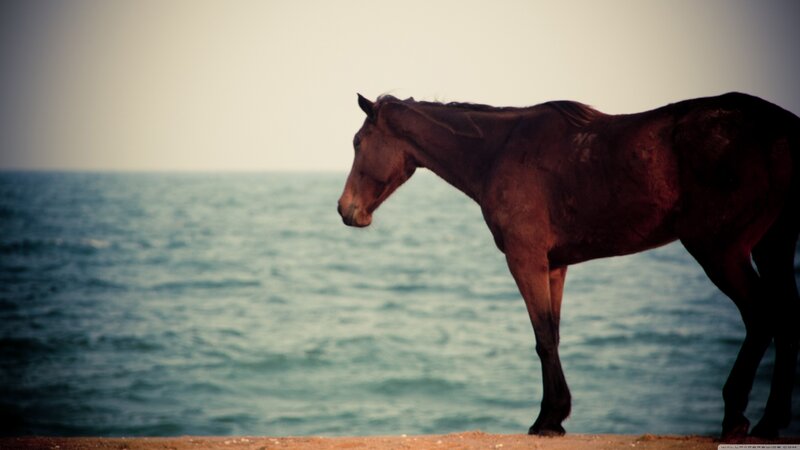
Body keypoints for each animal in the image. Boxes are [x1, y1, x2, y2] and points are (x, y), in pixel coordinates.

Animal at [337, 92, 799, 439]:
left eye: (358, 142)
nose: (346, 210)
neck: (498, 150)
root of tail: (781, 130)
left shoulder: (525, 259)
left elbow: (542, 337)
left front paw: (547, 419)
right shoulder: (554, 266)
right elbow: (553, 334)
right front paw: (555, 414)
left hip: (720, 250)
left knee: (762, 315)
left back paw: (735, 415)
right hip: (771, 246)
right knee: (783, 317)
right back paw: (770, 422)